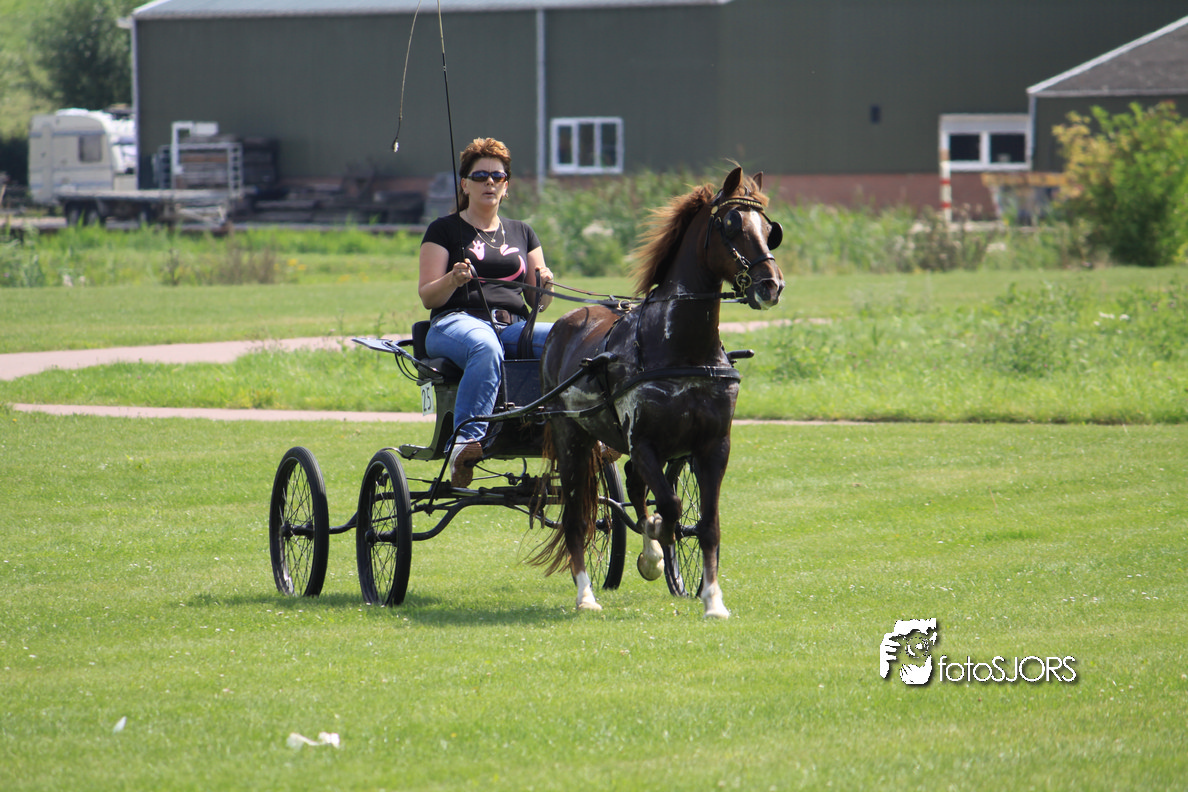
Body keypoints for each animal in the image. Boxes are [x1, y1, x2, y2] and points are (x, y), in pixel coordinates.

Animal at [536, 166, 785, 618]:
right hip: (571, 438)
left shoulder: (713, 446)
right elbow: (669, 506)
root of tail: (566, 321)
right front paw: (657, 546)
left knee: (633, 487)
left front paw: (712, 599)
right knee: (577, 518)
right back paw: (586, 595)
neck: (681, 348)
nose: (770, 286)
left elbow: (707, 523)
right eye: (731, 224)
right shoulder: (645, 442)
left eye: (769, 230)